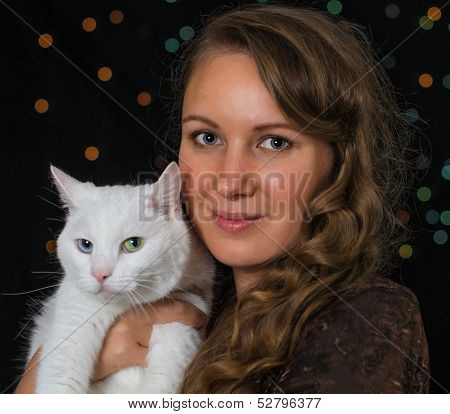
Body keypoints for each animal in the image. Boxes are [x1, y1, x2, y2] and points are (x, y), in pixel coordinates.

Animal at [25, 160, 216, 392]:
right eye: (85, 245)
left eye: (133, 244)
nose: (99, 274)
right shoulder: (74, 315)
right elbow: (60, 380)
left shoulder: (190, 305)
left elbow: (166, 375)